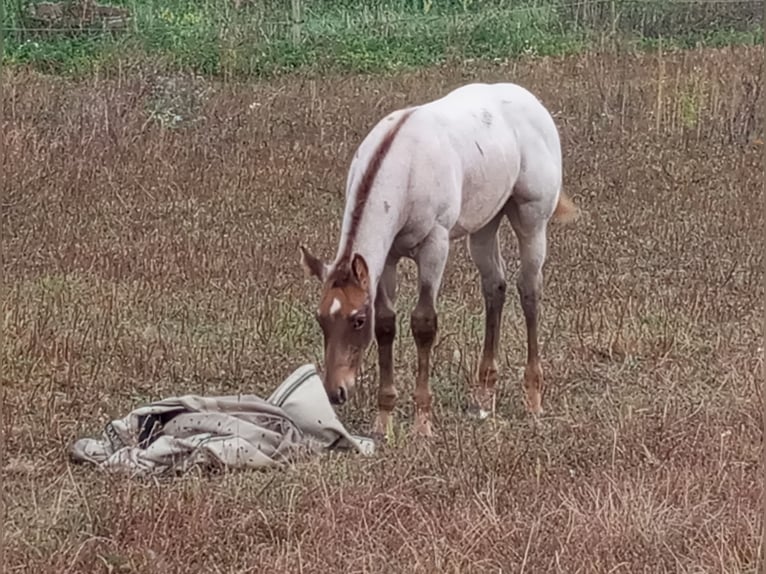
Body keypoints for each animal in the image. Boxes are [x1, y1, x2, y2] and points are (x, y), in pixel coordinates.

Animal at [304, 82, 580, 440]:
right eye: (321, 319)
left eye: (357, 320)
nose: (335, 392)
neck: (404, 166)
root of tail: (531, 101)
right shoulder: (388, 257)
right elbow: (387, 325)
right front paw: (383, 421)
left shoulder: (434, 245)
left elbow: (424, 324)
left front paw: (423, 422)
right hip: (484, 224)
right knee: (495, 287)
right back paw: (484, 396)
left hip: (532, 221)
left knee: (529, 290)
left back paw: (533, 399)